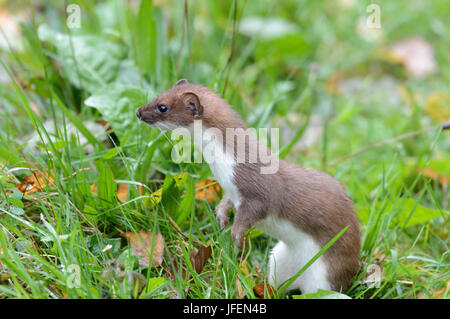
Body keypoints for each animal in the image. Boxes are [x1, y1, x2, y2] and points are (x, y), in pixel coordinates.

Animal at [135, 80, 360, 296]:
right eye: (158, 95)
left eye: (162, 107)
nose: (138, 112)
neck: (222, 166)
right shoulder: (232, 191)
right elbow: (226, 202)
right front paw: (221, 216)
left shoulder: (257, 191)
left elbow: (252, 213)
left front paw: (235, 238)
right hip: (280, 258)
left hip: (325, 275)